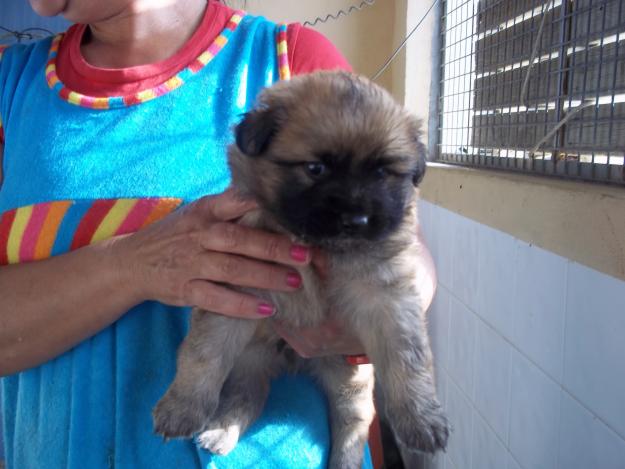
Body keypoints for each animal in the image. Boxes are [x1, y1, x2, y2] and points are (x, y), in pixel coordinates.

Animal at [154, 71, 450, 466]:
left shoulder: (386, 296)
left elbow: (409, 356)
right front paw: (181, 406)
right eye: (315, 169)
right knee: (245, 395)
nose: (356, 220)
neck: (313, 246)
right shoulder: (234, 291)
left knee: (352, 424)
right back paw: (221, 431)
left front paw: (421, 418)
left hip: (349, 378)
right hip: (250, 358)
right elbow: (203, 353)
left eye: (382, 172)